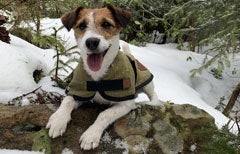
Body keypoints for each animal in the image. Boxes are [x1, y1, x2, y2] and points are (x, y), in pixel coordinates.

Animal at [46, 5, 159, 150]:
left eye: (106, 24)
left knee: (153, 93)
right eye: (82, 25)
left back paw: (155, 103)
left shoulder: (125, 103)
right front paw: (58, 120)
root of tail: (131, 56)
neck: (98, 75)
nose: (91, 42)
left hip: (146, 82)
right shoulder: (79, 93)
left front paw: (91, 135)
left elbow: (104, 114)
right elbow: (67, 102)